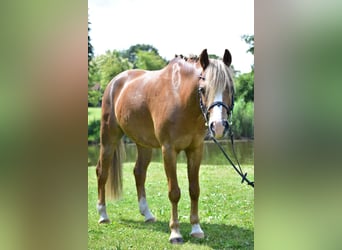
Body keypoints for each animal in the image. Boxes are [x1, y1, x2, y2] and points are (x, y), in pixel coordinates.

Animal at [96, 49, 235, 244]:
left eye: (230, 88)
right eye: (202, 89)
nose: (219, 126)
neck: (180, 98)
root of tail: (114, 82)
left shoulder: (195, 149)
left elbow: (194, 190)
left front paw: (196, 229)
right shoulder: (168, 150)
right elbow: (174, 192)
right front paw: (175, 232)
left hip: (143, 144)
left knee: (139, 173)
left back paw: (147, 214)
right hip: (109, 139)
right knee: (102, 172)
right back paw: (103, 215)